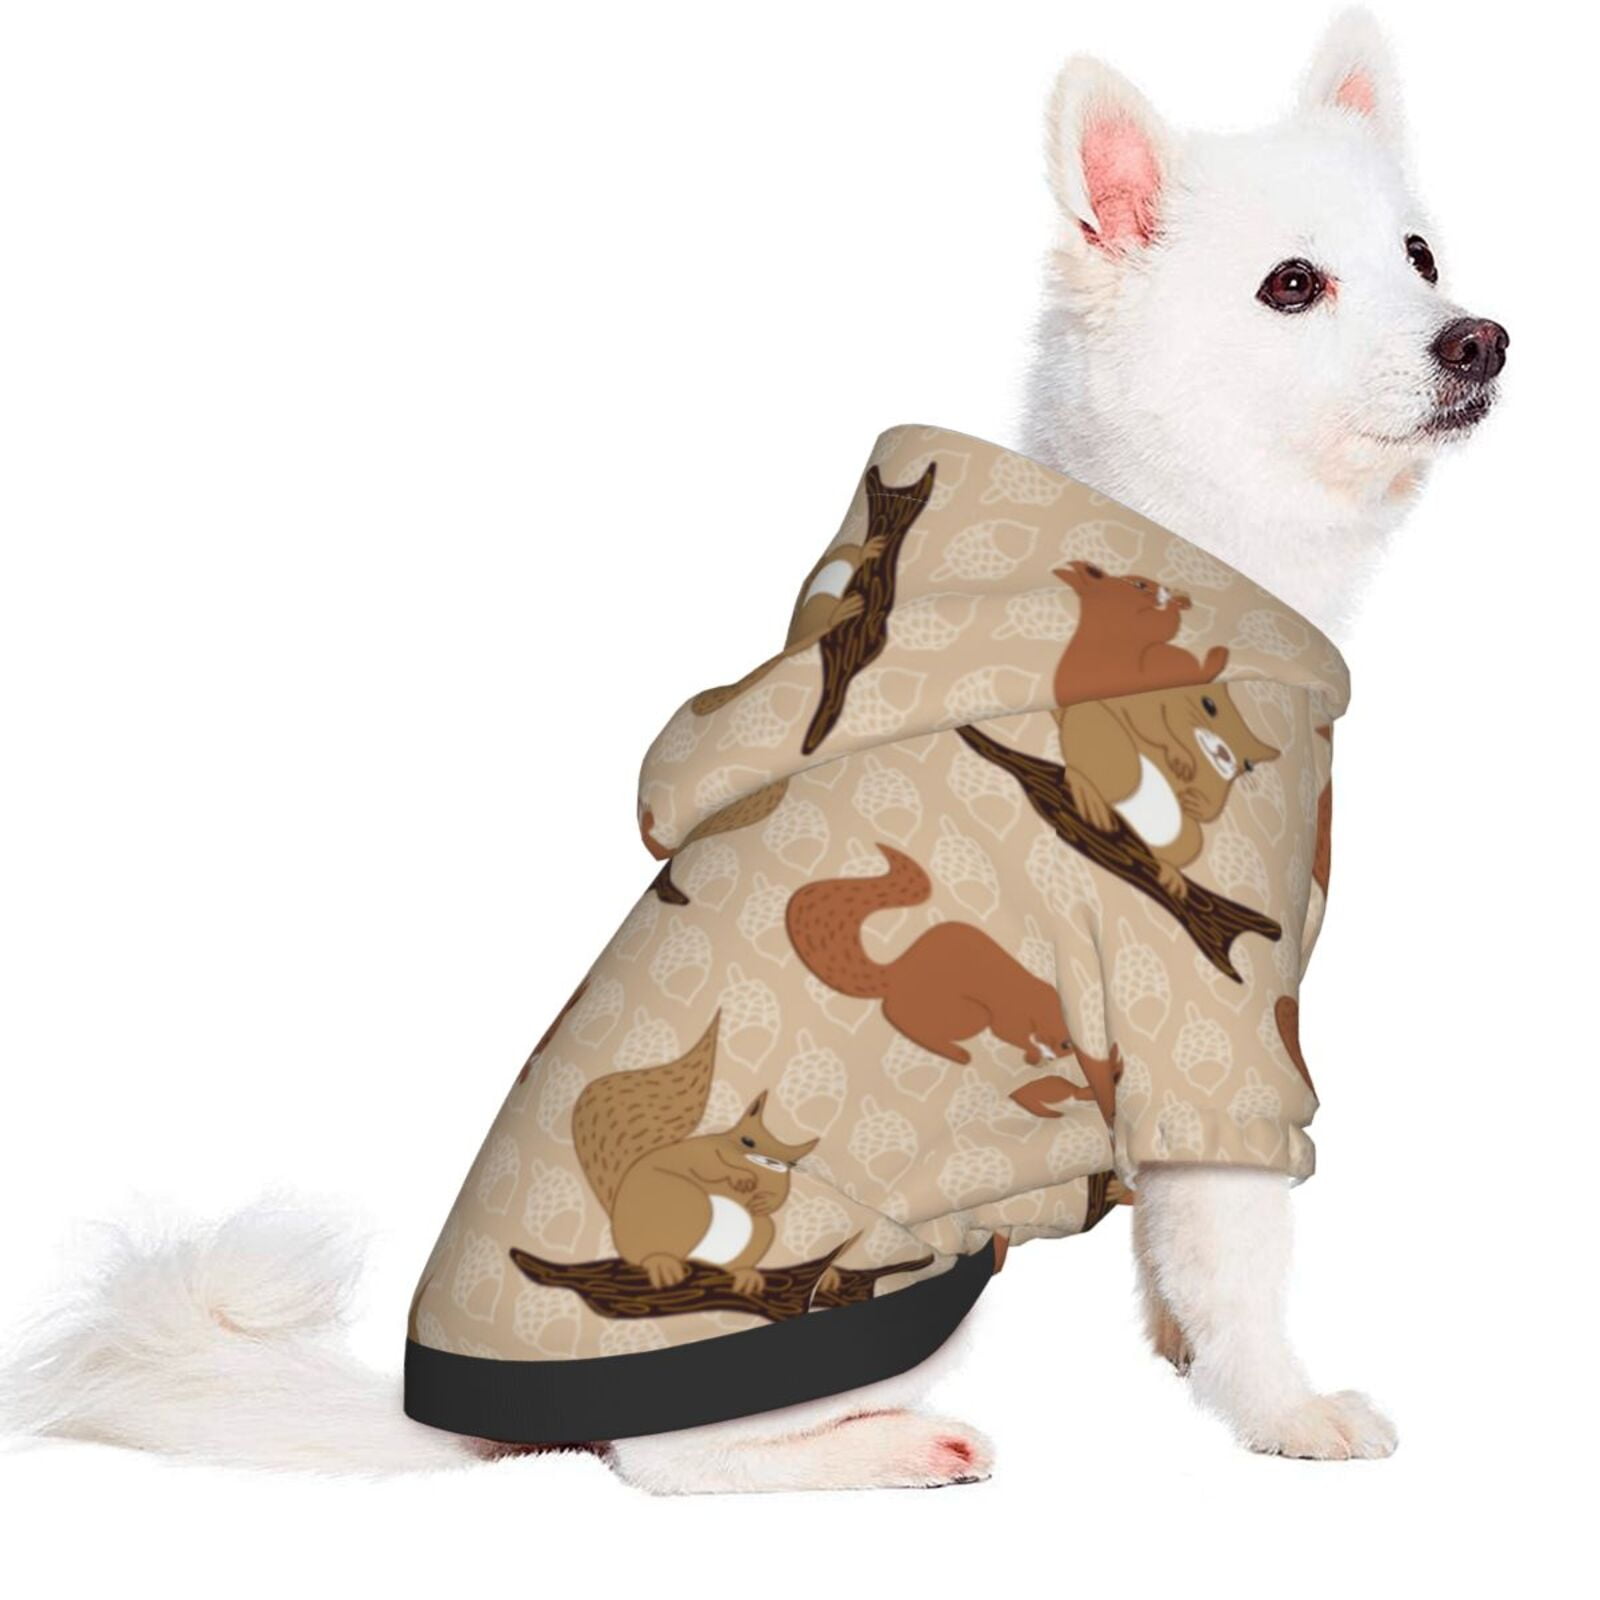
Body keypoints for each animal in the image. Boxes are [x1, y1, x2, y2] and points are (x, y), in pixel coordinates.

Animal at [570, 1012, 821, 1295]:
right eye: (747, 1140)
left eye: (793, 1161)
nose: (770, 1160)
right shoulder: (703, 1150)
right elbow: (709, 1166)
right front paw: (739, 1177)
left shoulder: (778, 1178)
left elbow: (778, 1193)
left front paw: (764, 1200)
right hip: (685, 1202)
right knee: (650, 1253)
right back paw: (662, 1263)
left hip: (760, 1230)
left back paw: (744, 1274)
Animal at [786, 844, 1075, 1066]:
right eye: (1064, 1044)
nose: (1061, 1053)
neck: (1034, 999)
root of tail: (895, 973)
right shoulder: (1008, 1017)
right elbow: (1012, 1034)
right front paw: (1033, 1053)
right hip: (970, 1014)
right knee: (903, 1020)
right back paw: (958, 1054)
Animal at [1059, 683, 1279, 898]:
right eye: (1209, 705)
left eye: (1249, 765)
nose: (1225, 754)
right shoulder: (1148, 705)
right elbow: (1151, 725)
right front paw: (1181, 756)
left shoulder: (1220, 784)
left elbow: (1213, 803)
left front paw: (1196, 803)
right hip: (1113, 744)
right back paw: (1088, 796)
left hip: (1189, 836)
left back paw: (1170, 873)